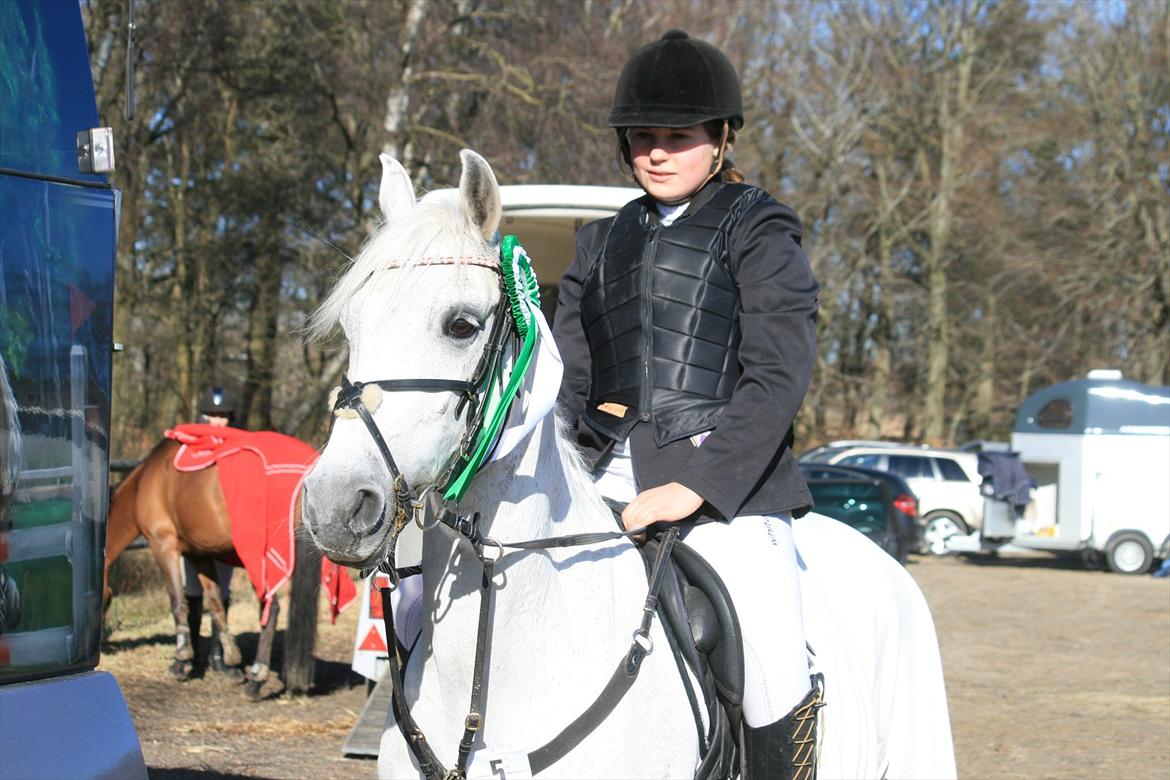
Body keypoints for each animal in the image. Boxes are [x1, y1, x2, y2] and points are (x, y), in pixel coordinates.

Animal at [104, 437, 321, 700]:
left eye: (105, 601)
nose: (100, 643)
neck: (146, 480)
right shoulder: (199, 554)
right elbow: (215, 604)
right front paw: (230, 656)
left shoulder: (163, 545)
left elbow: (178, 603)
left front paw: (180, 660)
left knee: (271, 609)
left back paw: (257, 679)